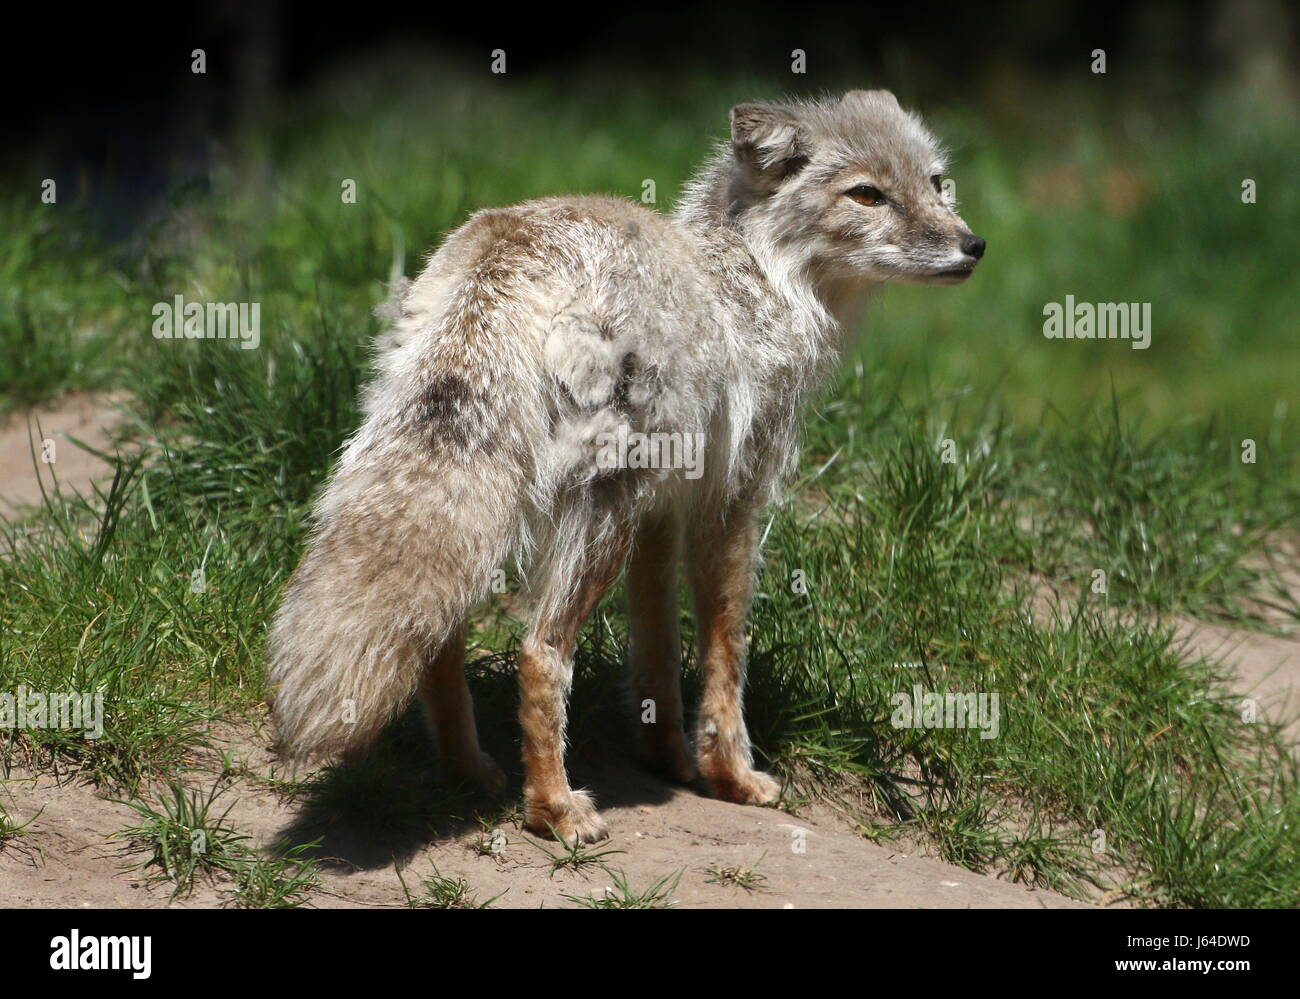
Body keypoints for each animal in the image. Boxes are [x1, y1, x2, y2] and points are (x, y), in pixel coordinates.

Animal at [271, 91, 982, 842]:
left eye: (936, 183)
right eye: (867, 195)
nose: (974, 246)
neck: (753, 286)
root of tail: (509, 248)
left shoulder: (660, 514)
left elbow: (658, 650)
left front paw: (668, 757)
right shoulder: (731, 502)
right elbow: (725, 651)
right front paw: (731, 775)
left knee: (439, 637)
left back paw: (470, 771)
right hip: (594, 527)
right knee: (538, 654)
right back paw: (554, 811)